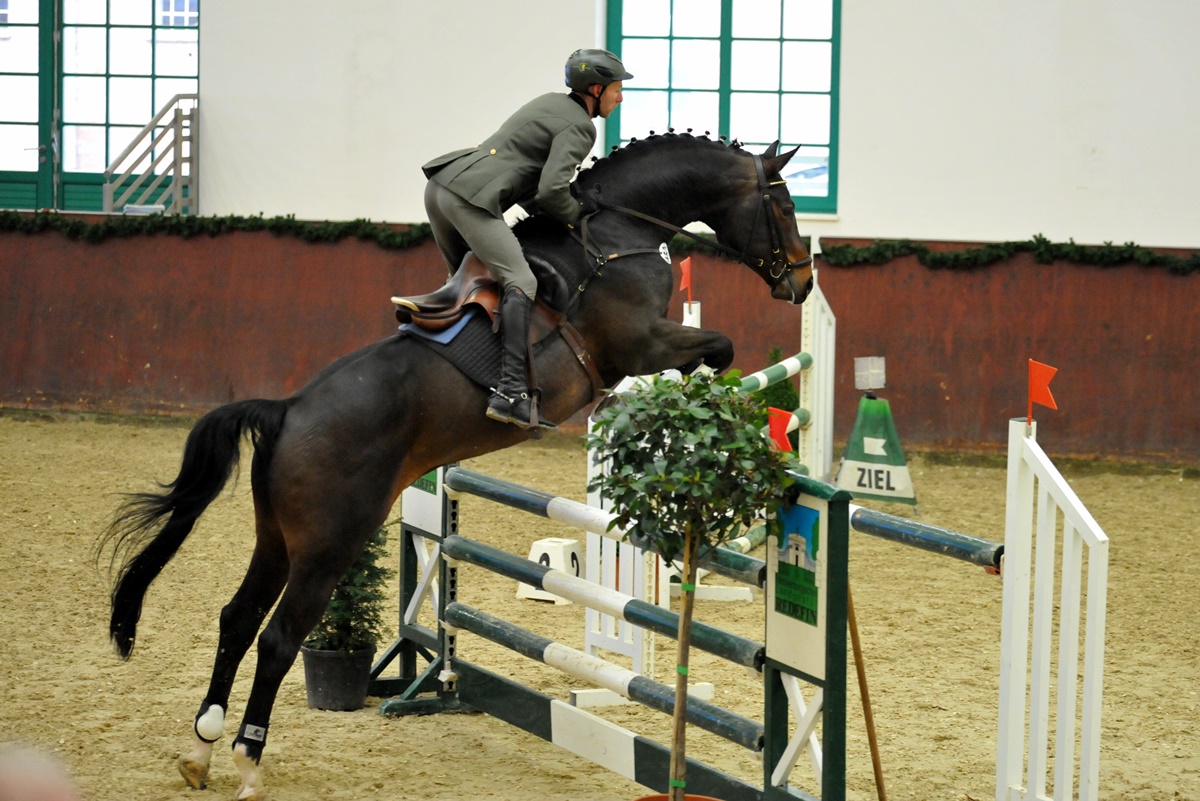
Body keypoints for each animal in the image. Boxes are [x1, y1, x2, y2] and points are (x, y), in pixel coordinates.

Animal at [103, 133, 816, 801]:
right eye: (783, 204)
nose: (803, 283)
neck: (618, 234)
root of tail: (286, 411)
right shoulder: (639, 343)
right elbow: (719, 349)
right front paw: (694, 411)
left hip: (276, 537)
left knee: (237, 618)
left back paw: (201, 750)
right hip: (329, 545)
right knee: (278, 637)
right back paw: (248, 761)